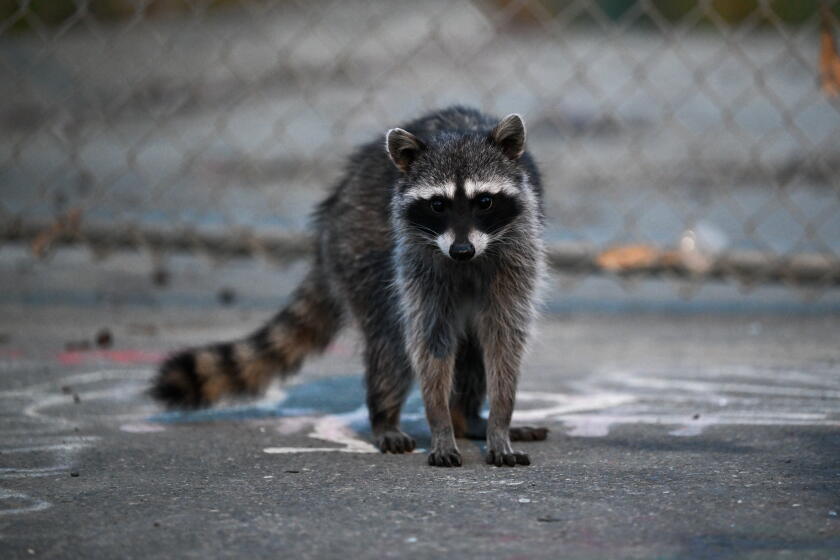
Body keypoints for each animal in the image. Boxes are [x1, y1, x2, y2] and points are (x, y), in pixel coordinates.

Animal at [151, 106, 548, 467]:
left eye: (485, 201)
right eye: (438, 204)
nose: (461, 250)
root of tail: (334, 207)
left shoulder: (518, 253)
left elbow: (503, 340)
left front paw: (499, 422)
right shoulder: (417, 260)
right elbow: (428, 342)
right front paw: (440, 424)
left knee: (469, 347)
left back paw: (467, 418)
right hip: (361, 246)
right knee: (391, 341)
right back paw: (387, 417)